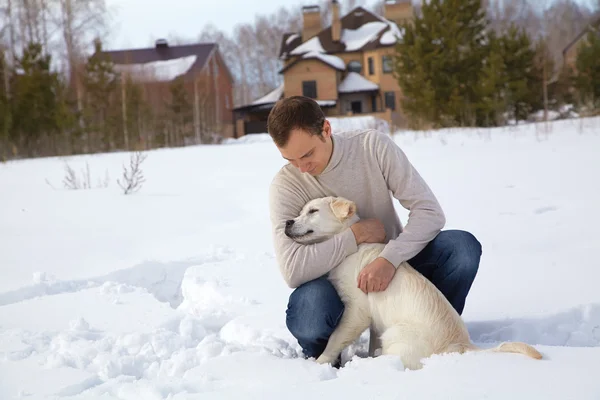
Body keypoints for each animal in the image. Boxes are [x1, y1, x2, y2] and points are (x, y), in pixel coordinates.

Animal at [284, 196, 540, 368]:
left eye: (313, 211)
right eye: (301, 211)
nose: (287, 222)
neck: (351, 248)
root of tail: (460, 347)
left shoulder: (357, 310)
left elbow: (335, 339)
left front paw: (320, 362)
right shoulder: (374, 318)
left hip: (396, 333)